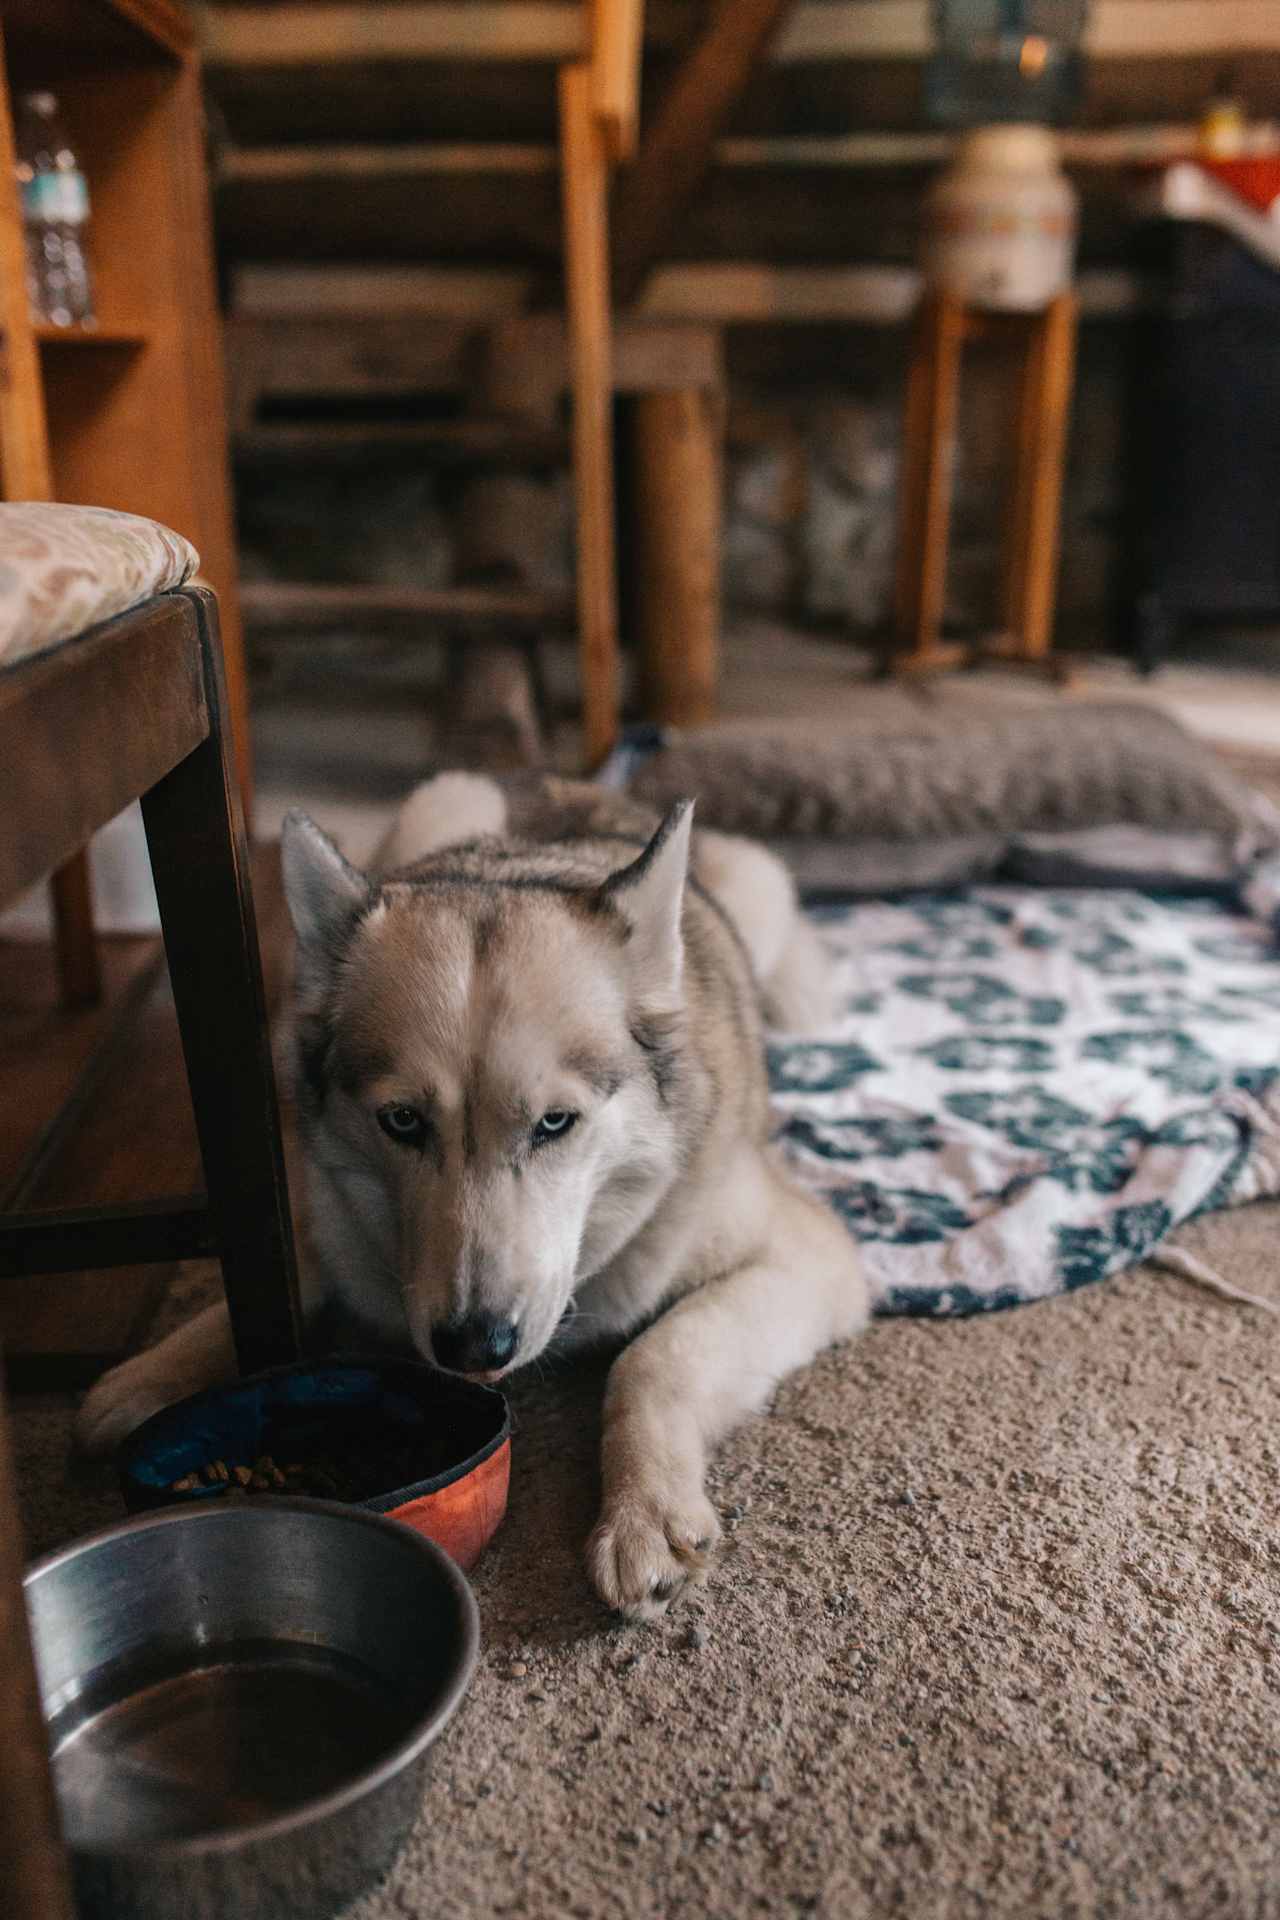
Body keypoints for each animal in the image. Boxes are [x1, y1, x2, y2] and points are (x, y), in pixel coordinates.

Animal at [80, 771, 871, 1612]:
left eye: (555, 1123)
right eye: (402, 1121)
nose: (473, 1345)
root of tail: (571, 784)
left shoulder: (808, 1258)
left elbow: (653, 1358)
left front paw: (644, 1512)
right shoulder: (318, 1206)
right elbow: (278, 1264)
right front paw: (155, 1370)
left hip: (762, 893)